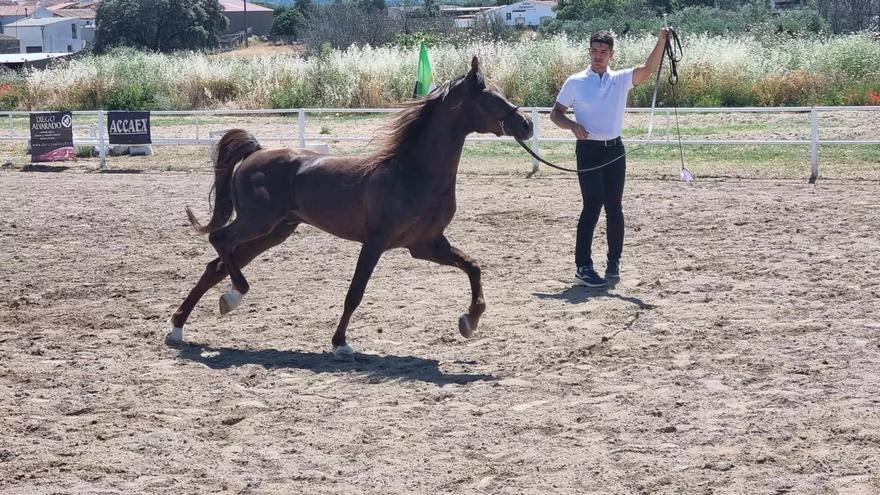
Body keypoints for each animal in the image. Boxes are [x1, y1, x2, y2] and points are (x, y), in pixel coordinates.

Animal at [166, 56, 534, 360]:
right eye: (491, 97)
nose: (527, 125)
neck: (413, 173)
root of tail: (256, 153)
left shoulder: (426, 245)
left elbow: (473, 266)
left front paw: (469, 321)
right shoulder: (376, 242)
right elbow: (355, 293)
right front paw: (341, 344)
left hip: (274, 233)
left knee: (215, 266)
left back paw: (179, 329)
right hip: (257, 223)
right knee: (219, 241)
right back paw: (232, 298)